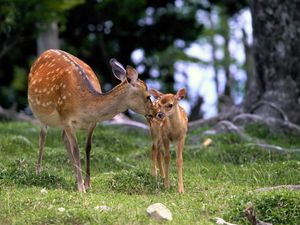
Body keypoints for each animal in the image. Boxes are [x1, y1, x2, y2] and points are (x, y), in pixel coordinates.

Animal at [27, 49, 152, 192]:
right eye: (148, 96)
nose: (156, 112)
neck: (84, 104)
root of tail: (46, 52)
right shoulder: (66, 118)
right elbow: (76, 149)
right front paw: (81, 188)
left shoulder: (92, 123)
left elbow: (88, 147)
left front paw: (87, 183)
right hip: (40, 113)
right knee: (43, 136)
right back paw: (38, 172)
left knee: (63, 138)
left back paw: (76, 177)